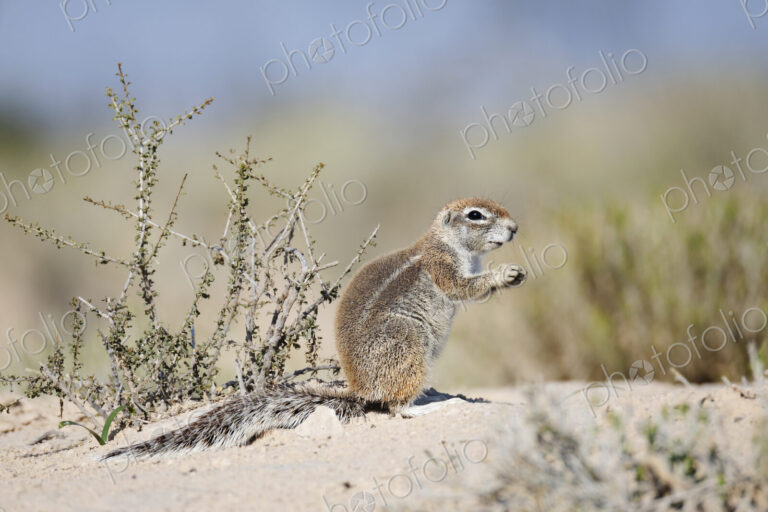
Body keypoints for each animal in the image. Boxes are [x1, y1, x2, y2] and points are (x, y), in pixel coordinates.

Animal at [101, 198, 525, 460]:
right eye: (476, 215)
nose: (515, 228)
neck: (447, 242)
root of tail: (361, 390)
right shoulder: (443, 268)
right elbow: (464, 289)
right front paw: (505, 274)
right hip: (408, 343)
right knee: (397, 408)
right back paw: (435, 406)